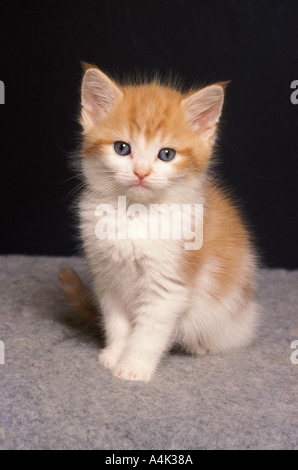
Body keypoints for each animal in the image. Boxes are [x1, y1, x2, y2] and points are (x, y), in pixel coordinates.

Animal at [60, 64, 258, 382]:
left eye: (167, 154)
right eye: (122, 148)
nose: (141, 172)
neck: (135, 213)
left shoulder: (169, 283)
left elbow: (150, 331)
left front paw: (133, 366)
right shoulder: (106, 278)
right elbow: (116, 322)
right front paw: (115, 353)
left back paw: (200, 345)